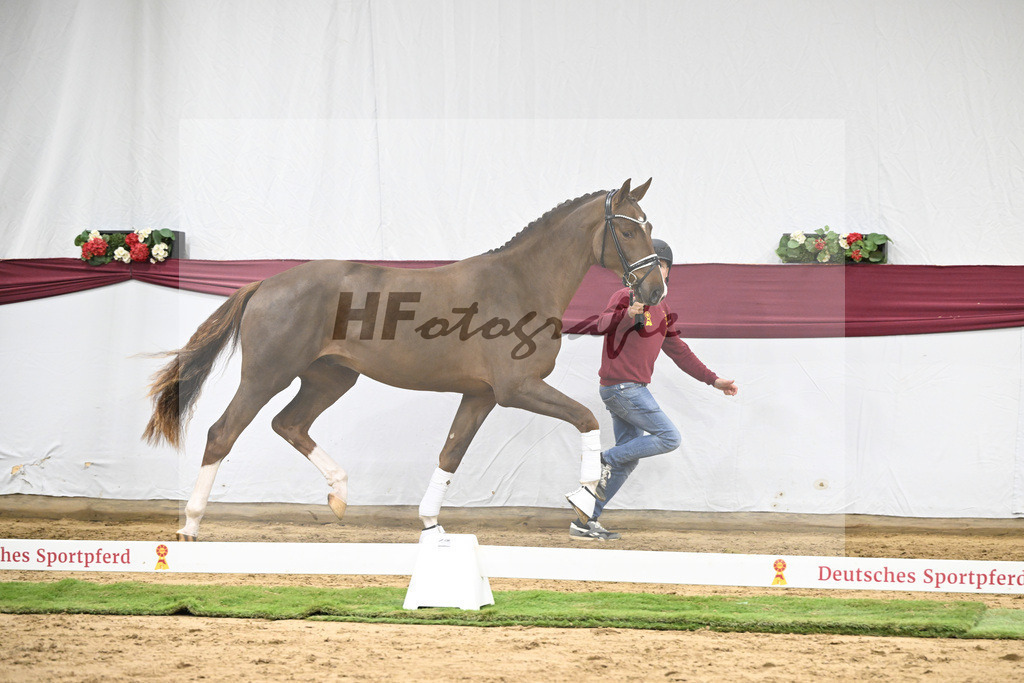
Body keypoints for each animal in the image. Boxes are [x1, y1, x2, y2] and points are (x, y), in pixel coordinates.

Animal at [143, 178, 666, 540]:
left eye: (650, 225)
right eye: (626, 229)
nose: (655, 290)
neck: (520, 283)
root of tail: (264, 285)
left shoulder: (480, 395)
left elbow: (451, 453)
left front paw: (431, 522)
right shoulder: (517, 389)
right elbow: (586, 418)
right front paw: (585, 495)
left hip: (331, 378)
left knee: (288, 424)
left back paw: (339, 494)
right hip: (266, 375)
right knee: (223, 432)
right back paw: (190, 525)